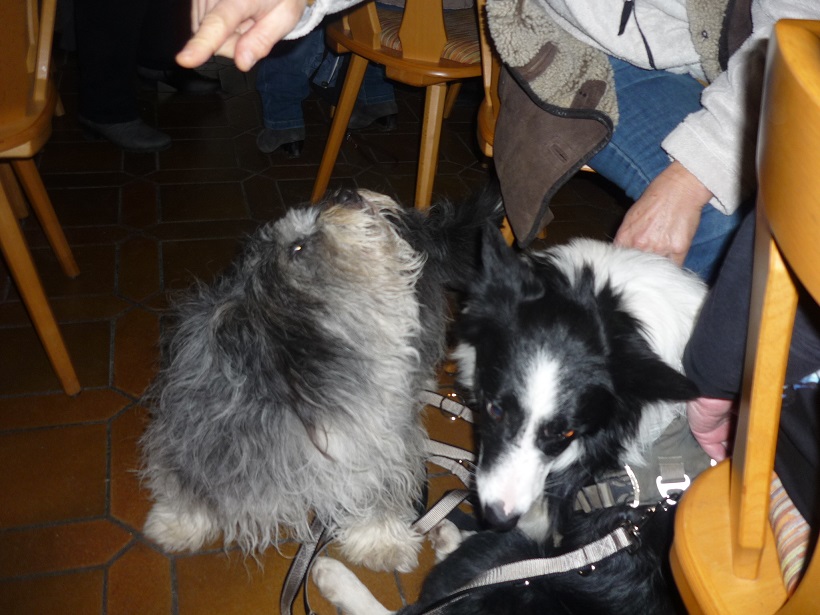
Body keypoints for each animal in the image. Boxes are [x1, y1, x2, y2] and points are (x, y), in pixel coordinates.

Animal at [140, 188, 501, 572]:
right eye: (296, 248)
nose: (345, 192)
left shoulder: (378, 444)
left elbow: (375, 493)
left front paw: (381, 540)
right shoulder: (205, 431)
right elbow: (190, 482)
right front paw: (177, 523)